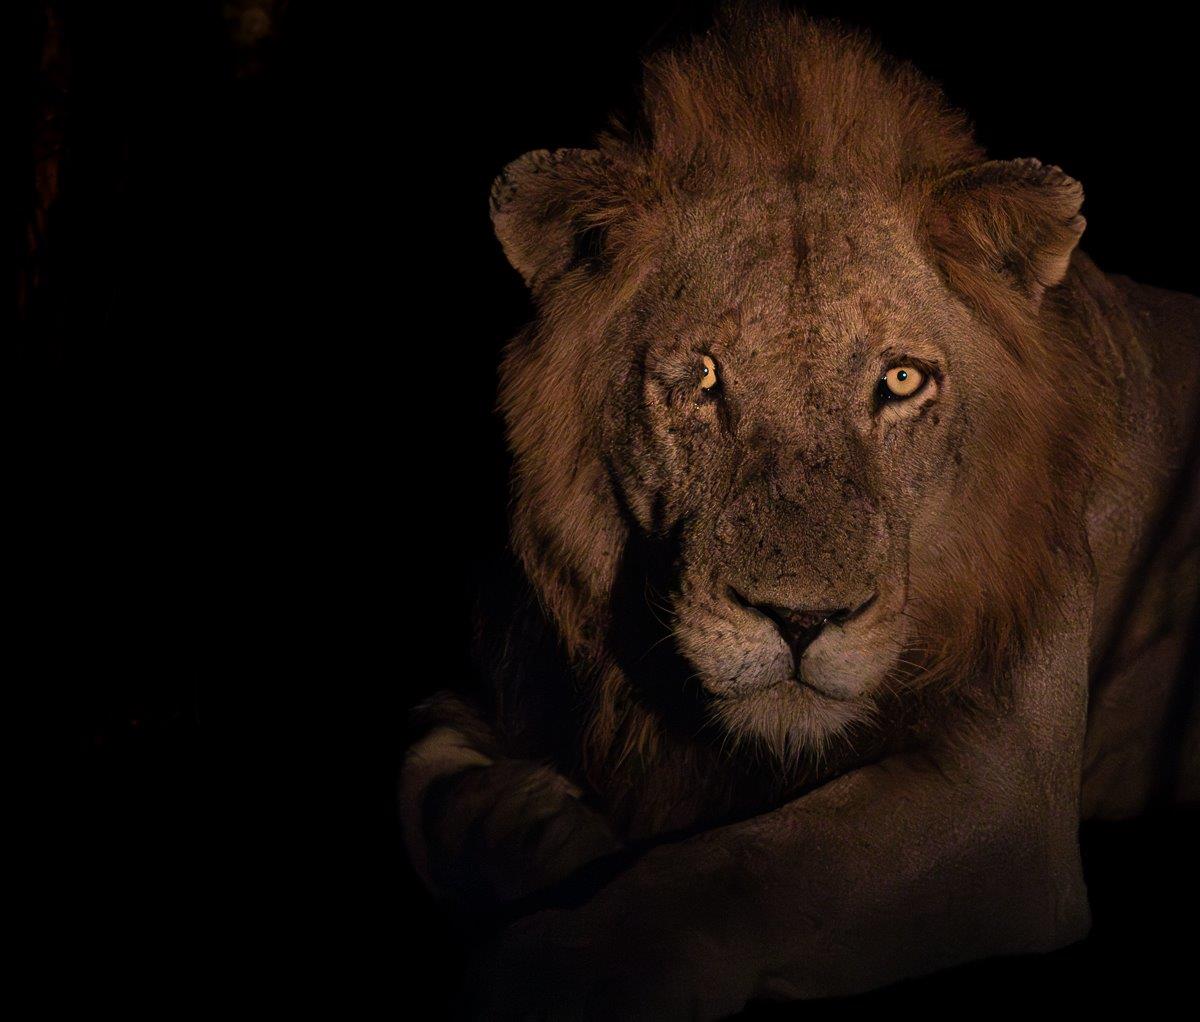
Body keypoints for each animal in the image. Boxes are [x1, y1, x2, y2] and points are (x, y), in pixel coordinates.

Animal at [400, 7, 1199, 1014]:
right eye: (700, 378)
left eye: (901, 382)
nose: (801, 622)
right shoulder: (485, 683)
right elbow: (436, 787)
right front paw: (571, 839)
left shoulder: (1005, 799)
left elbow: (740, 873)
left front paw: (557, 966)